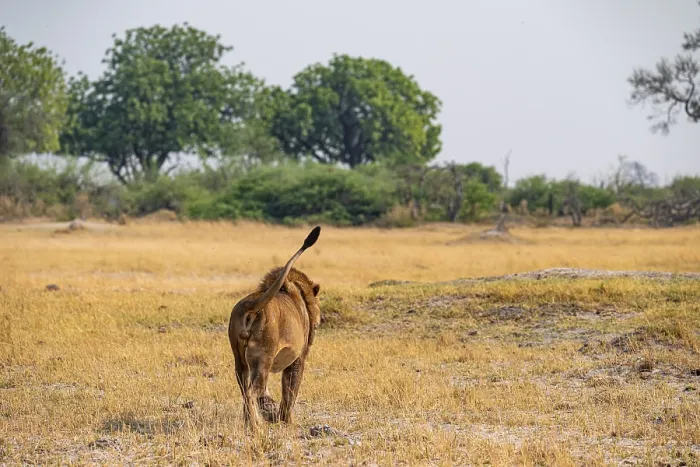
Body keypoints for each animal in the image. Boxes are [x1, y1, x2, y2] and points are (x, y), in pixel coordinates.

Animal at [228, 226, 322, 432]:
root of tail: (253, 304)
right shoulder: (298, 359)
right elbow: (290, 392)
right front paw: (287, 421)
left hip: (240, 361)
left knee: (245, 391)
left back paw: (250, 422)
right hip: (263, 357)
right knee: (252, 391)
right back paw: (256, 426)